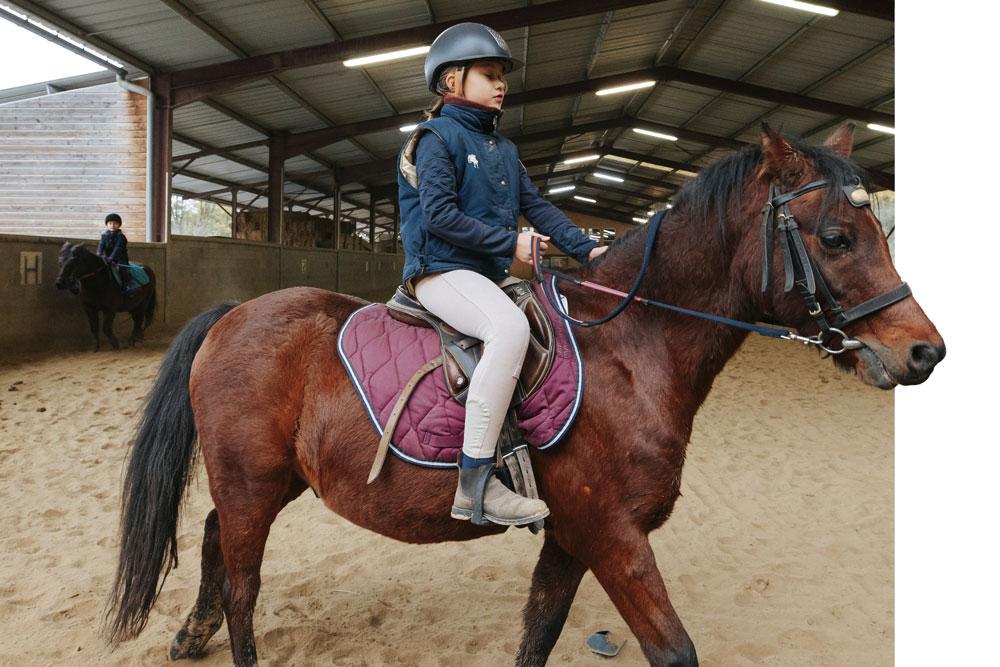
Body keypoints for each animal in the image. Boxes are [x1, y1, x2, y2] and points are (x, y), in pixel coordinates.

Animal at [105, 124, 940, 664]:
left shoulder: (574, 535)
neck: (630, 348)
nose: (924, 351)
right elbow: (673, 649)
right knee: (243, 583)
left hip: (271, 479)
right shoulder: (612, 534)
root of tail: (232, 314)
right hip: (252, 479)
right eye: (835, 237)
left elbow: (538, 631)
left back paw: (189, 635)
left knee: (215, 537)